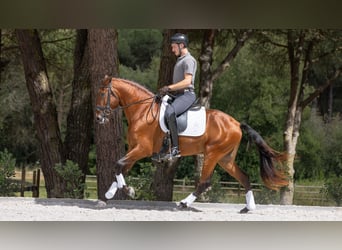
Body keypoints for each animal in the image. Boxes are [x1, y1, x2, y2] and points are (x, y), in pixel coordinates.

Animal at [95, 75, 288, 213]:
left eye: (103, 94)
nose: (98, 118)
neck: (142, 112)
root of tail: (236, 123)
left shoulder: (142, 149)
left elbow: (118, 164)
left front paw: (127, 191)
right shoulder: (134, 149)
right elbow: (121, 168)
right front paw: (107, 196)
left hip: (212, 154)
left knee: (204, 182)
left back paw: (183, 203)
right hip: (225, 159)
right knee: (244, 177)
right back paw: (249, 208)